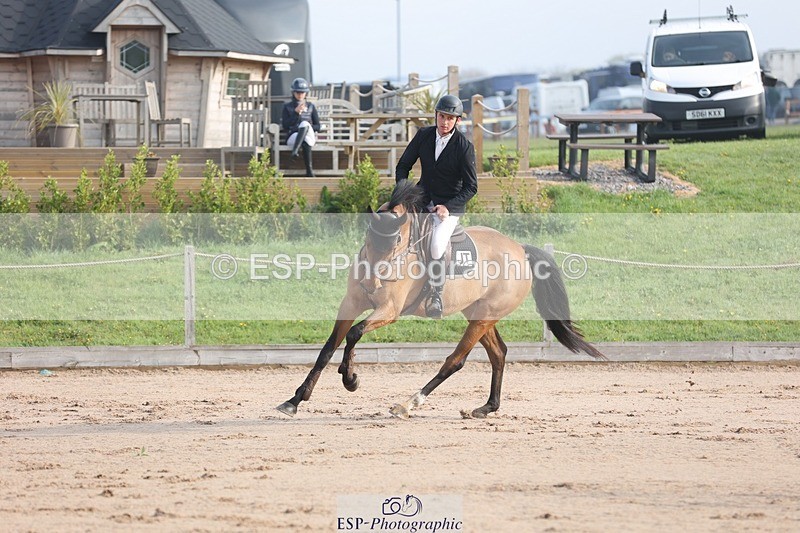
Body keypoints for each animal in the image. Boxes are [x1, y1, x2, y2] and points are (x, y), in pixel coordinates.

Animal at [276, 180, 606, 419]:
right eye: (368, 237)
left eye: (396, 241)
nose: (372, 282)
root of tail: (520, 250)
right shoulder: (351, 304)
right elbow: (328, 348)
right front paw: (295, 399)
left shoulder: (389, 310)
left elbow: (355, 333)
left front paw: (350, 378)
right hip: (478, 313)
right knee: (498, 353)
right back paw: (486, 408)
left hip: (484, 316)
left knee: (455, 361)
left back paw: (408, 404)